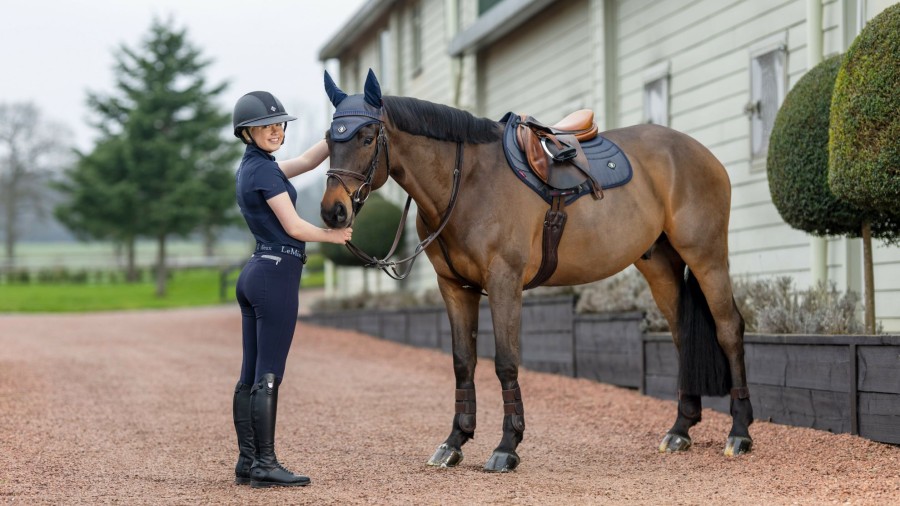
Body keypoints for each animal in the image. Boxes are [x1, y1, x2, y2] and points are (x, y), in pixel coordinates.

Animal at [316, 69, 752, 472]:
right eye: (329, 140)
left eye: (367, 137)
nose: (333, 211)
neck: (468, 182)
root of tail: (701, 153)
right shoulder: (454, 287)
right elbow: (463, 362)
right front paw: (455, 441)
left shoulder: (504, 282)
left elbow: (505, 361)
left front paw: (507, 446)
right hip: (660, 264)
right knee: (682, 335)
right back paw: (680, 429)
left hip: (707, 255)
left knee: (729, 329)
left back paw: (740, 432)